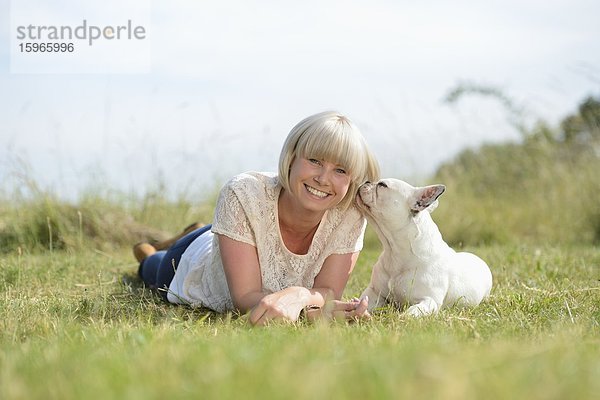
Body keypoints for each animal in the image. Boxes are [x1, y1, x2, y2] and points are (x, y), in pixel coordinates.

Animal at [356, 180, 492, 318]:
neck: (394, 251)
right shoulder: (374, 292)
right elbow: (364, 301)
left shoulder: (429, 300)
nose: (367, 181)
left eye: (382, 185)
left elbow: (412, 311)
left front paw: (402, 317)